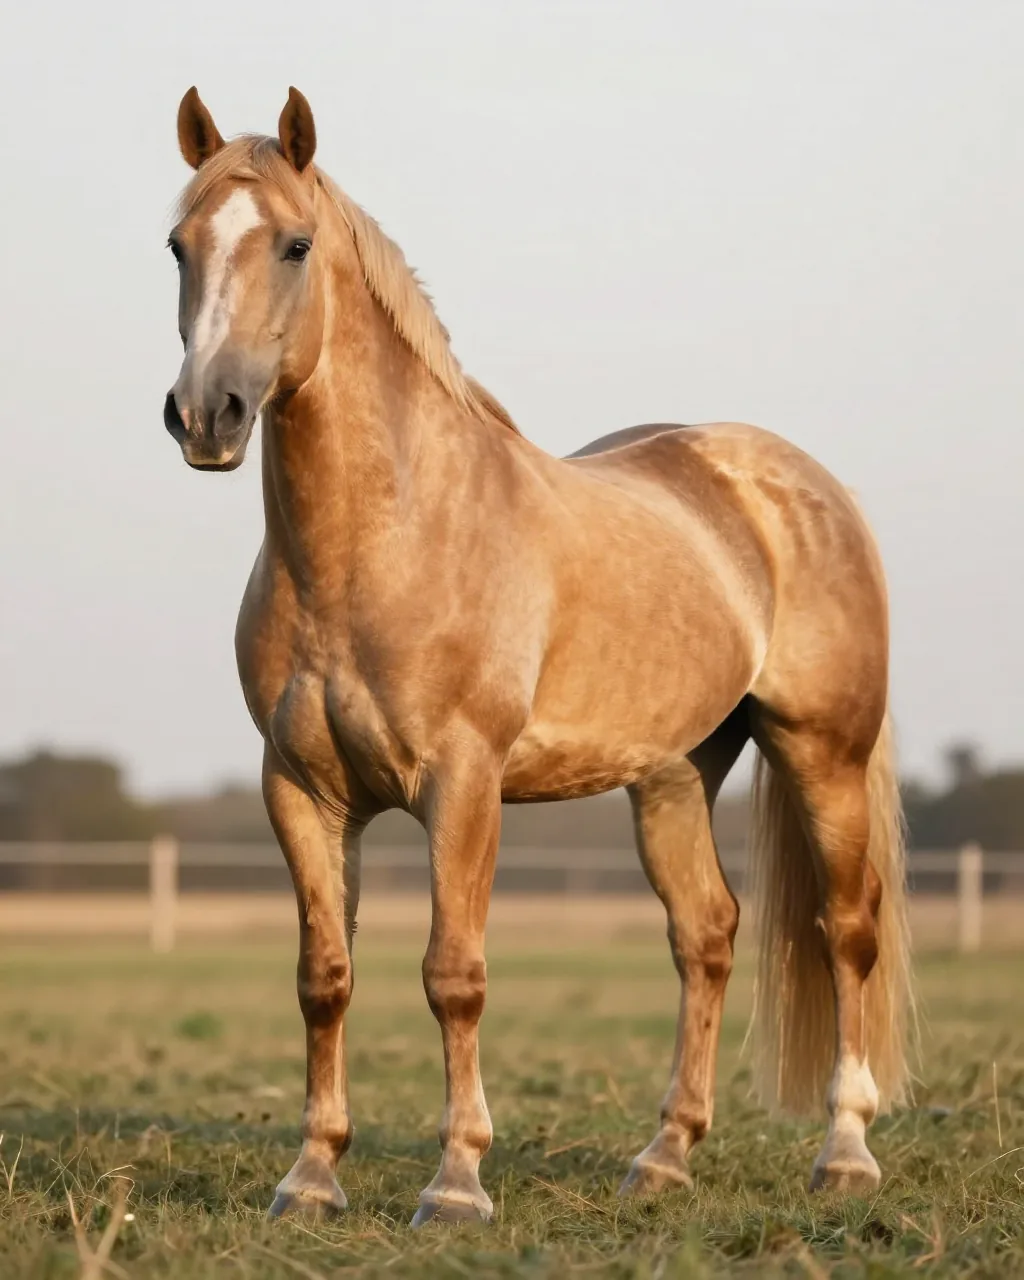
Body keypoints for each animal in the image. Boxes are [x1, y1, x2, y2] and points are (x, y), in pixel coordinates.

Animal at [162, 86, 912, 1225]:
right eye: (179, 246)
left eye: (294, 244)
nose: (208, 415)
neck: (386, 539)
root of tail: (800, 483)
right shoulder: (299, 789)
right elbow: (323, 977)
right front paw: (312, 1175)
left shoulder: (463, 783)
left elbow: (454, 975)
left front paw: (457, 1182)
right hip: (673, 775)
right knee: (706, 933)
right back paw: (664, 1157)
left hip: (821, 750)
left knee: (844, 929)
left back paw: (846, 1153)